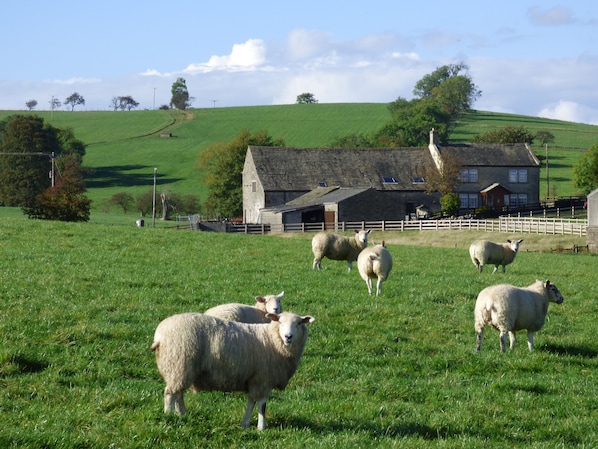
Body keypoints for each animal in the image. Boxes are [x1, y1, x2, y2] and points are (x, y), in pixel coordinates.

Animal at [149, 310, 314, 428]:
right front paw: (261, 427)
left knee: (178, 394)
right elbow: (262, 405)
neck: (272, 339)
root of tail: (159, 336)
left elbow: (251, 402)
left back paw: (183, 414)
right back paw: (169, 415)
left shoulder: (254, 379)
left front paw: (245, 424)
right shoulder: (263, 379)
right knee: (170, 394)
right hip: (178, 364)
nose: (288, 336)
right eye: (279, 321)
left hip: (181, 370)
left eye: (299, 323)